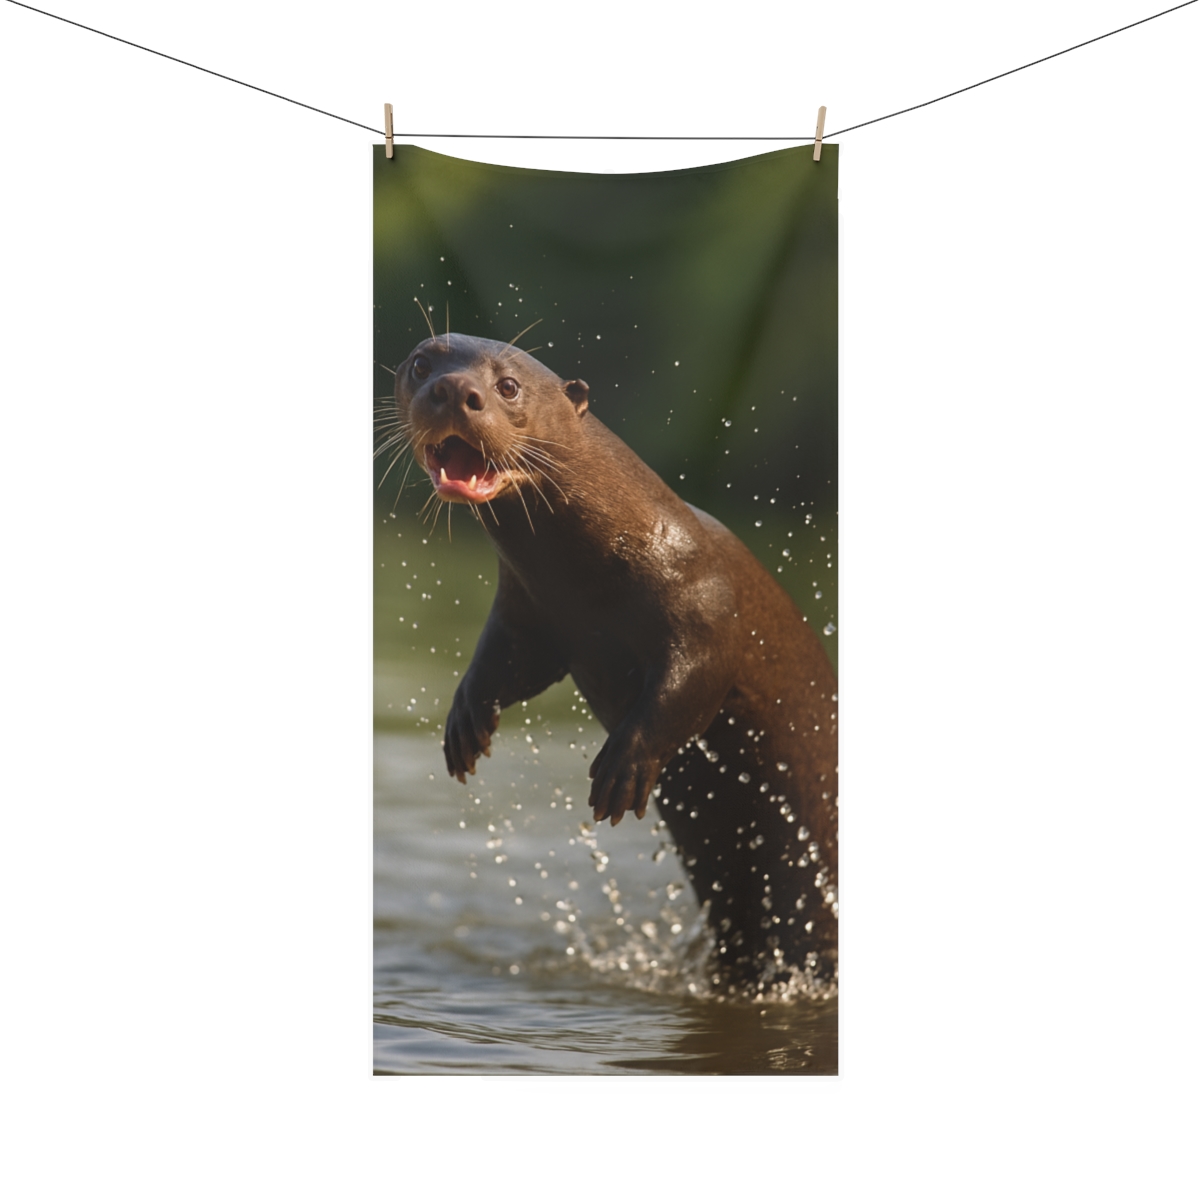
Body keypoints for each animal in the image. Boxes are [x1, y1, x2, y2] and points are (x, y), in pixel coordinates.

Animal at [391, 333, 838, 987]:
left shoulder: (706, 607)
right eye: (421, 364)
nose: (452, 390)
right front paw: (465, 721)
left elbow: (693, 681)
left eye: (507, 386)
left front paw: (624, 764)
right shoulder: (530, 612)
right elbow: (504, 664)